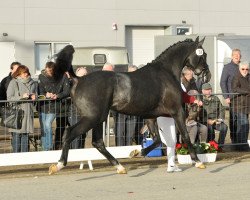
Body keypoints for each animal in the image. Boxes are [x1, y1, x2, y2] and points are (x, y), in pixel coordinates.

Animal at [48, 36, 211, 174]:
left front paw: (136, 152)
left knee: (98, 142)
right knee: (70, 133)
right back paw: (58, 165)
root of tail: (78, 79)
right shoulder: (177, 112)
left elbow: (157, 140)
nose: (207, 75)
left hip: (98, 118)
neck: (166, 72)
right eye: (203, 54)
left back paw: (119, 166)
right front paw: (198, 161)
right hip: (92, 118)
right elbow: (185, 135)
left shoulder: (151, 116)